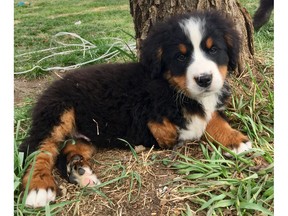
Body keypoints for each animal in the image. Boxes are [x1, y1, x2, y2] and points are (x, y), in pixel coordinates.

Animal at [18, 10, 252, 208]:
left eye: (213, 50)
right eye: (181, 56)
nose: (204, 79)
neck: (173, 87)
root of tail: (53, 86)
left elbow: (212, 118)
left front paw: (235, 140)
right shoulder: (144, 111)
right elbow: (172, 125)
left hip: (87, 134)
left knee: (68, 148)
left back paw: (79, 170)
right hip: (57, 112)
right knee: (39, 150)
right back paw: (38, 187)